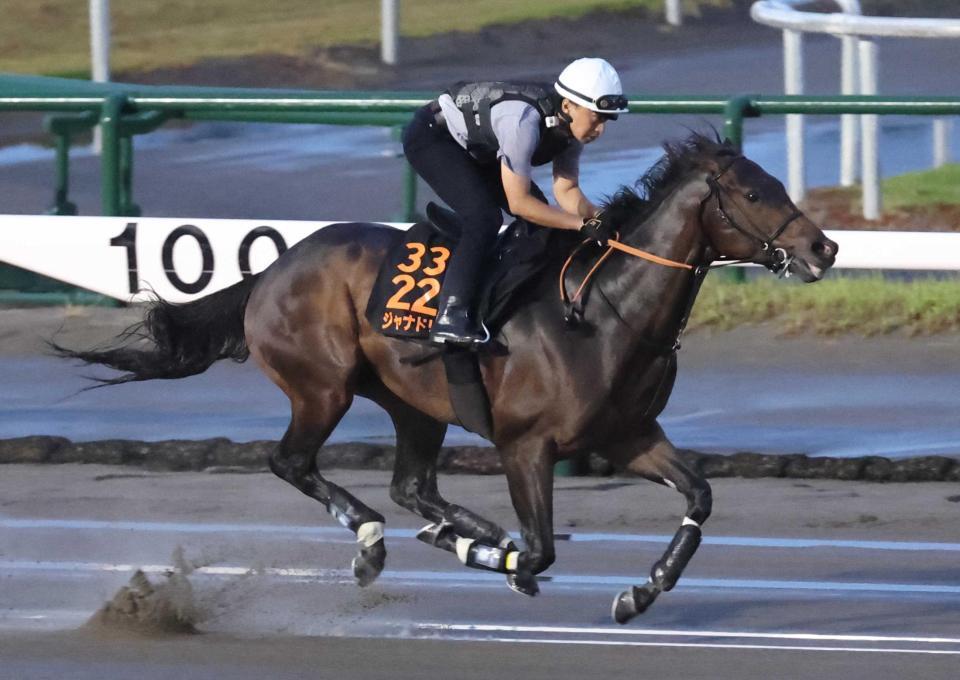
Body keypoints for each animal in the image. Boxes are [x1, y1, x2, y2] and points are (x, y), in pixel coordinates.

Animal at [55, 132, 837, 624]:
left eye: (777, 185)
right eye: (755, 194)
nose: (824, 247)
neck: (606, 312)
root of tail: (272, 270)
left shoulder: (628, 434)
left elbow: (699, 497)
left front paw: (640, 593)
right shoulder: (526, 444)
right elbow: (540, 548)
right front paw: (510, 560)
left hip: (415, 404)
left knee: (411, 485)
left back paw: (455, 528)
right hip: (323, 386)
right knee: (295, 463)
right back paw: (376, 543)